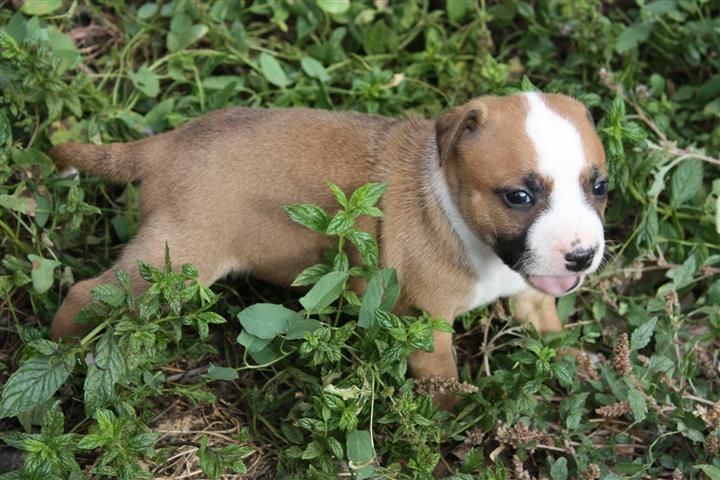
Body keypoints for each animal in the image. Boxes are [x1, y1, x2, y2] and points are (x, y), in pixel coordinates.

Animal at [49, 92, 607, 409]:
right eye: (518, 197)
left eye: (599, 187)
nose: (582, 257)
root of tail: (165, 143)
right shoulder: (426, 328)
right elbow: (444, 384)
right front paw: (447, 429)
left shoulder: (532, 291)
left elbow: (549, 327)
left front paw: (577, 364)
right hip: (173, 260)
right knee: (84, 295)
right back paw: (55, 364)